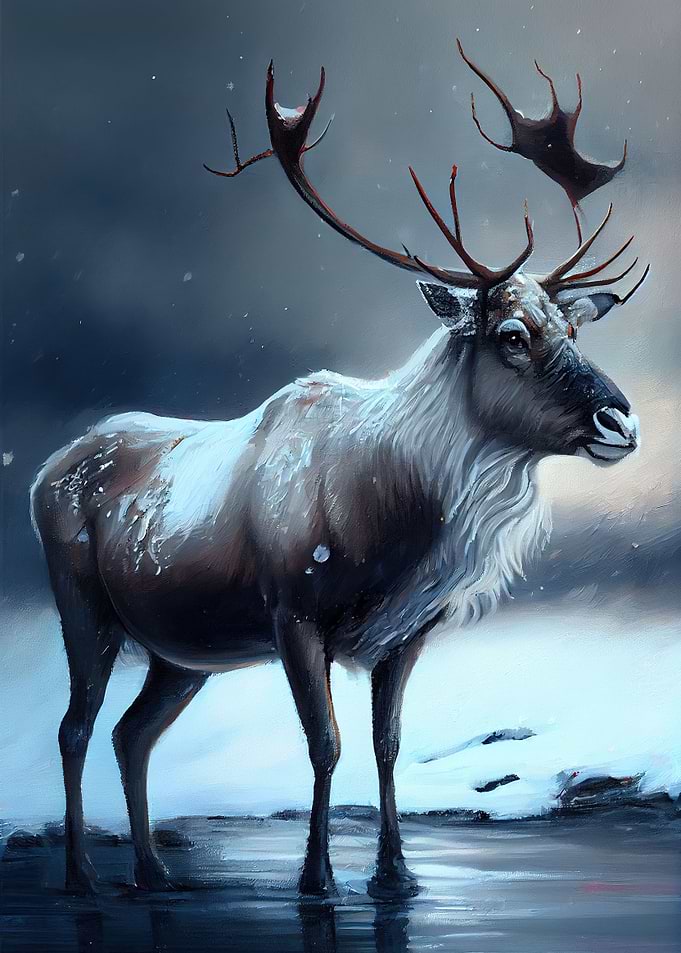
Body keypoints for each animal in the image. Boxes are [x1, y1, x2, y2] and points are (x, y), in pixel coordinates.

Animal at [31, 49, 648, 899]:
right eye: (512, 333)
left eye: (571, 329)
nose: (620, 420)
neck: (398, 524)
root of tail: (43, 472)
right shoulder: (292, 610)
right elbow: (324, 743)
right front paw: (317, 877)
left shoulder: (406, 632)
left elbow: (386, 743)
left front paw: (396, 875)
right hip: (82, 605)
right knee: (75, 726)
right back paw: (83, 873)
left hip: (179, 651)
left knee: (130, 733)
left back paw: (154, 868)